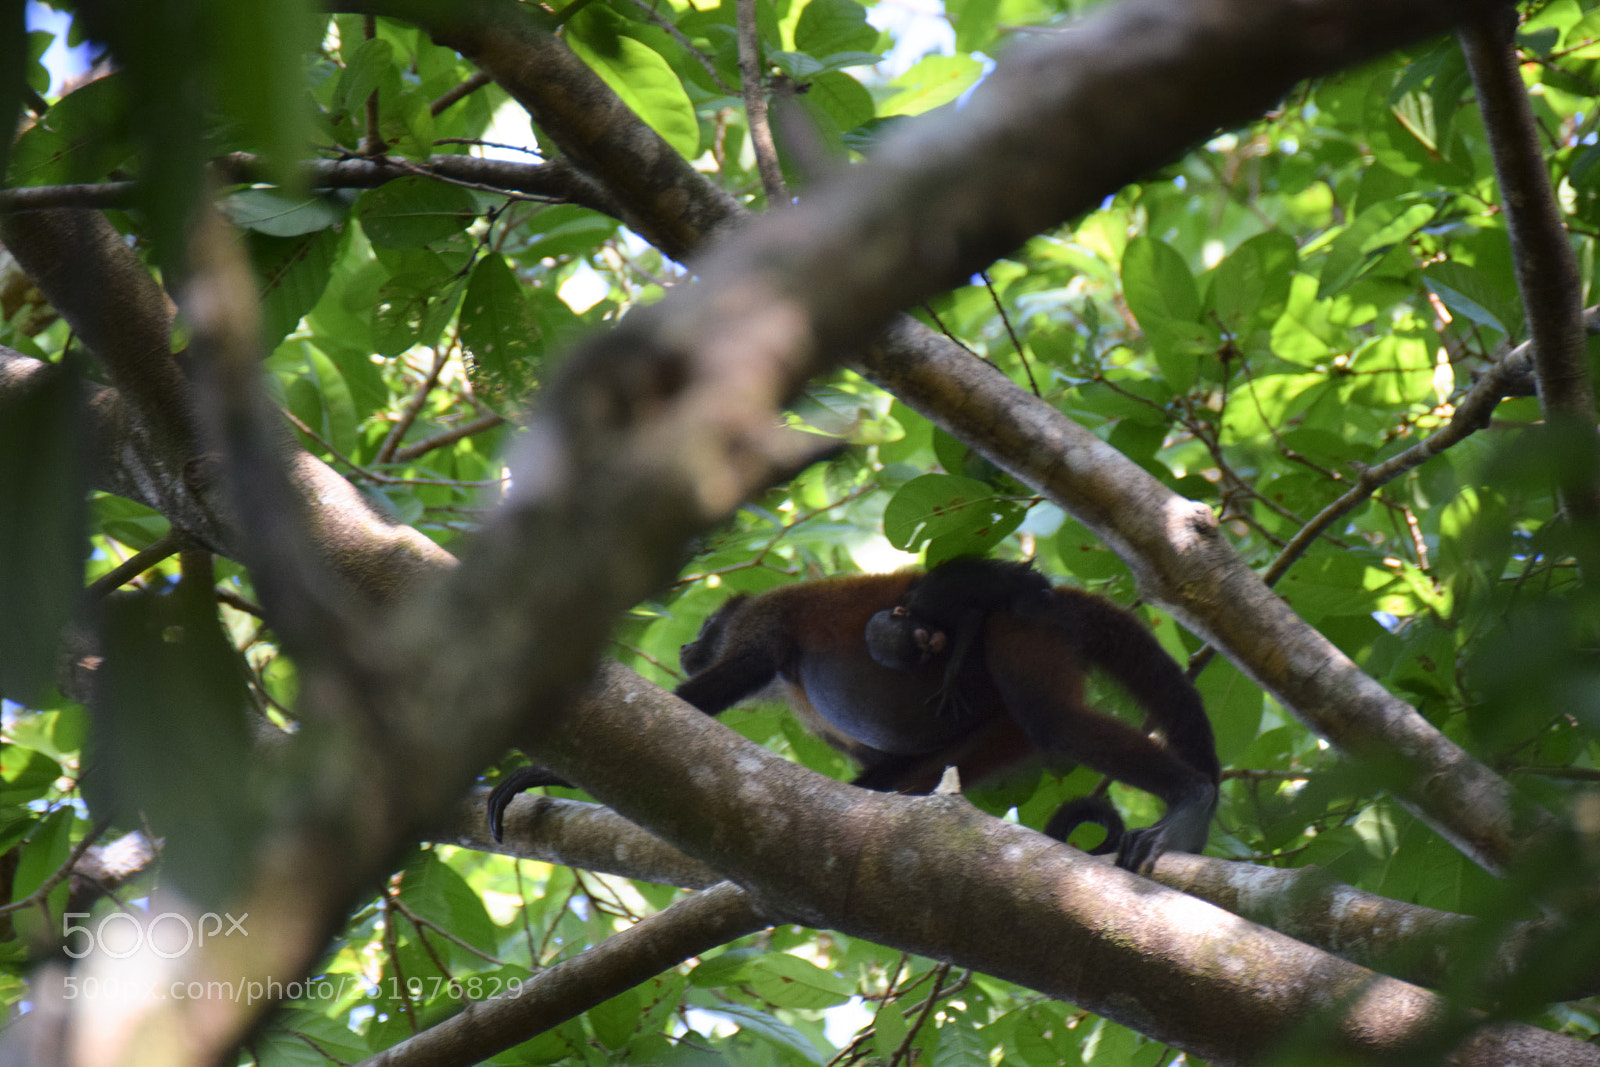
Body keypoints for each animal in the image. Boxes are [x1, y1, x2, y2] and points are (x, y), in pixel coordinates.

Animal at [864, 557, 1219, 872]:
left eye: (924, 640)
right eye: (920, 649)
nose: (935, 645)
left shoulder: (933, 604)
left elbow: (970, 613)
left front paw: (951, 676)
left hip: (1031, 628)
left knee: (1055, 719)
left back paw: (1194, 796)